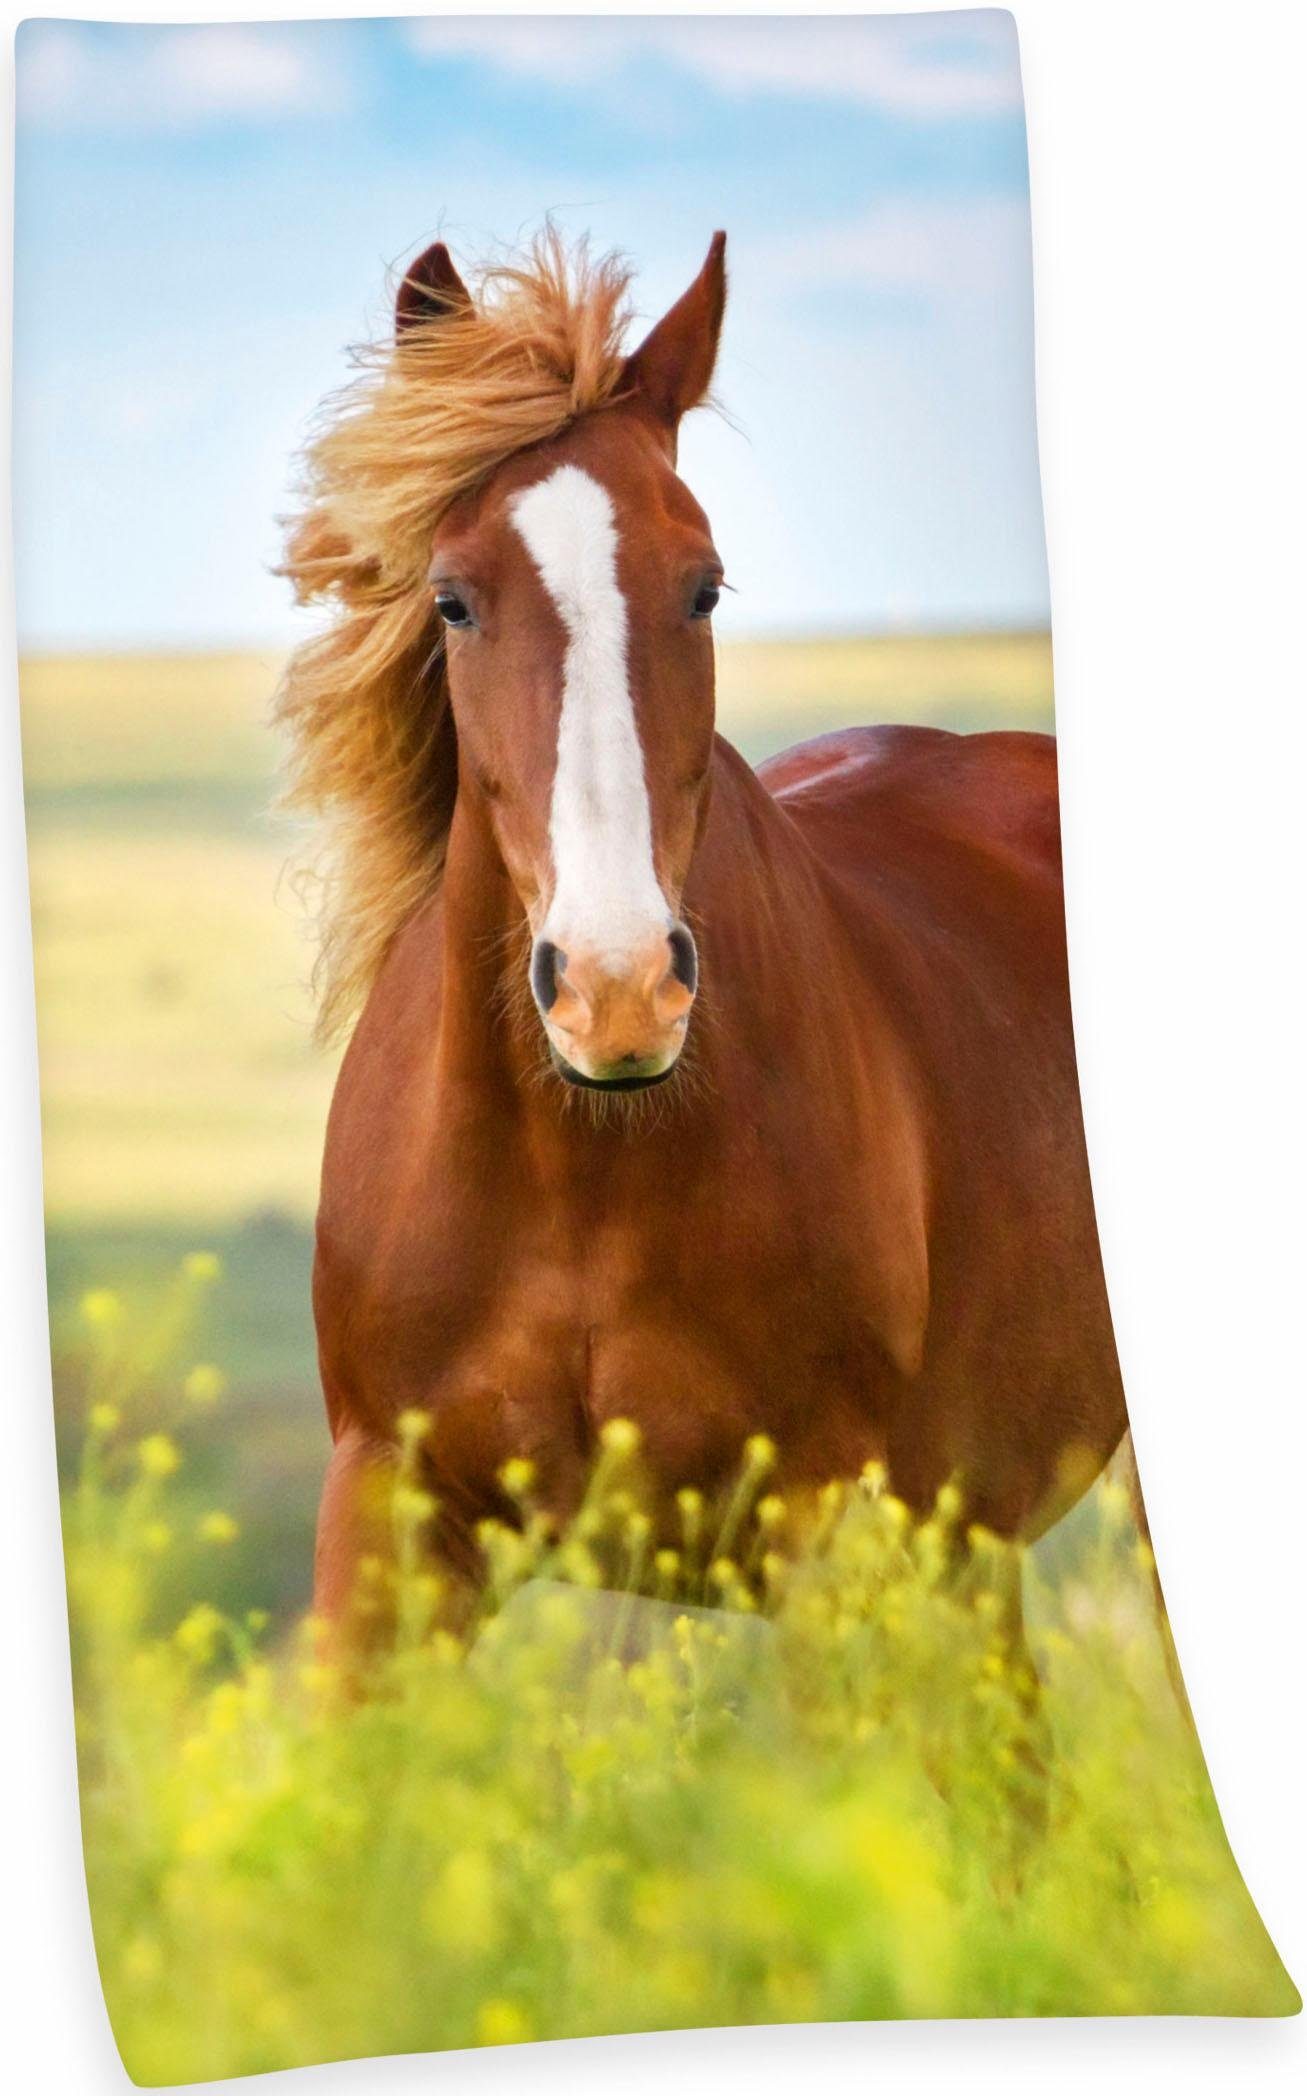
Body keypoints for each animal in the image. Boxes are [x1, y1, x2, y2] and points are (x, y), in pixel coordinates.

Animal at [277, 229, 1127, 1637]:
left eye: (705, 587)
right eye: (451, 600)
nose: (616, 992)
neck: (581, 1171)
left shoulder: (826, 1526)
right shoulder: (385, 1518)